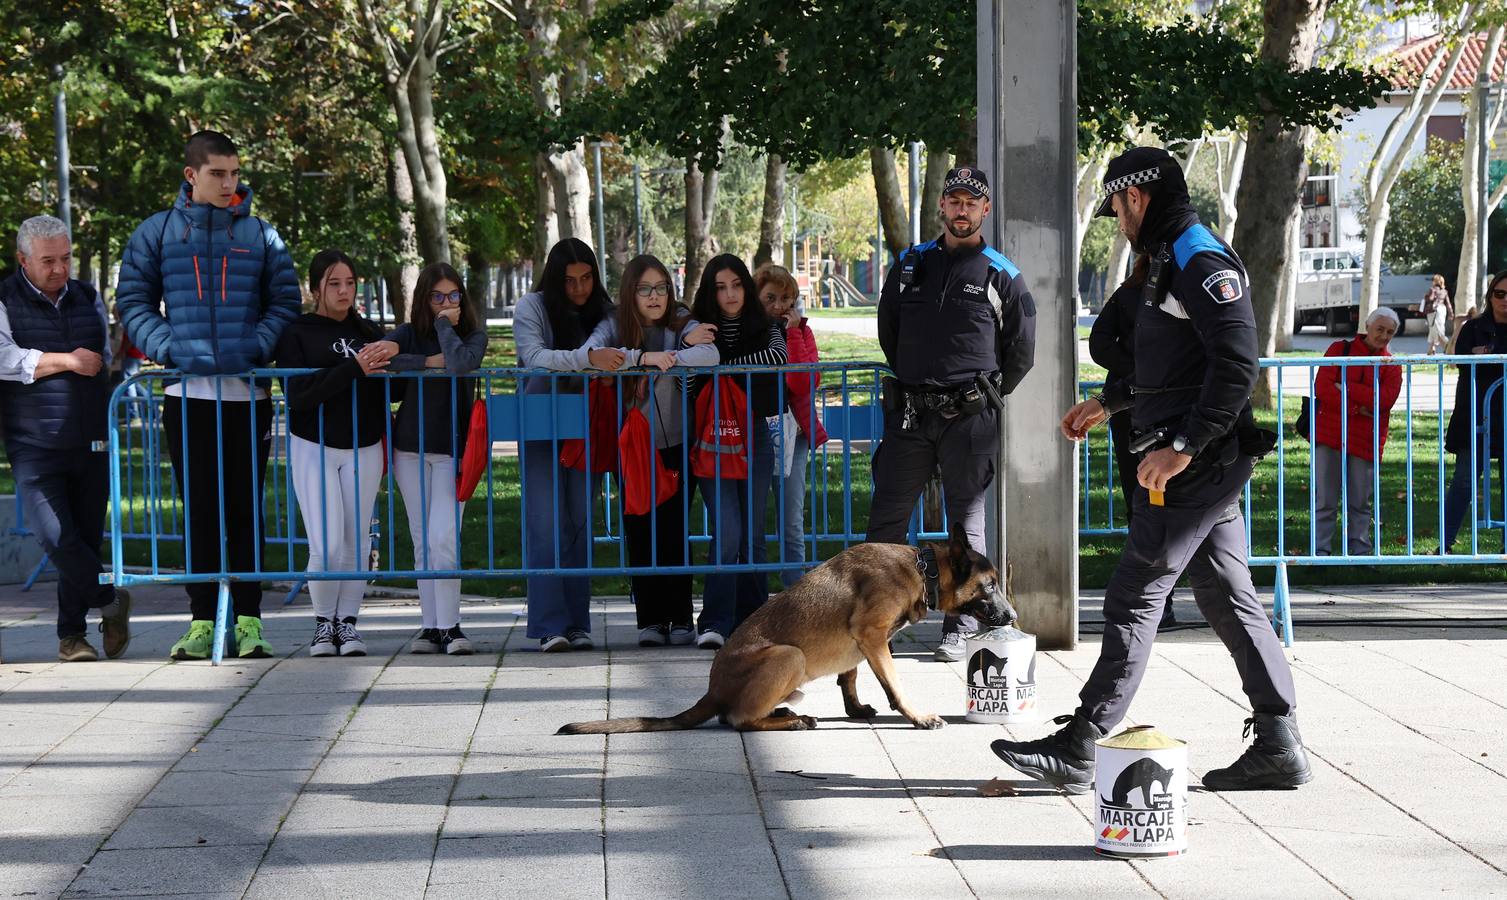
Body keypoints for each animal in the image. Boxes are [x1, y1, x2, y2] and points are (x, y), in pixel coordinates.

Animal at [560, 521, 1018, 732]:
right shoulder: (872, 636)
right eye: (991, 585)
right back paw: (789, 721)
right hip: (789, 655)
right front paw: (917, 716)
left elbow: (849, 676)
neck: (923, 570)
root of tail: (711, 691)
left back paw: (783, 712)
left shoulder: (861, 643)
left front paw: (855, 709)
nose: (1013, 617)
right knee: (735, 719)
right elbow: (895, 684)